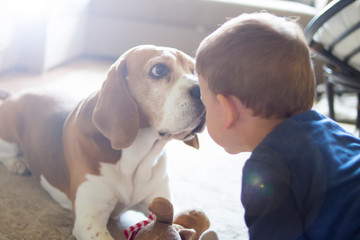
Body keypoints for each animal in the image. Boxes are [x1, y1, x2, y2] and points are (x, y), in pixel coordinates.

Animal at [0, 45, 205, 240]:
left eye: (195, 70)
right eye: (158, 70)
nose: (202, 90)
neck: (136, 156)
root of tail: (15, 95)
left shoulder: (160, 200)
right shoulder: (89, 219)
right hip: (9, 135)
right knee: (7, 153)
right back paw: (17, 163)